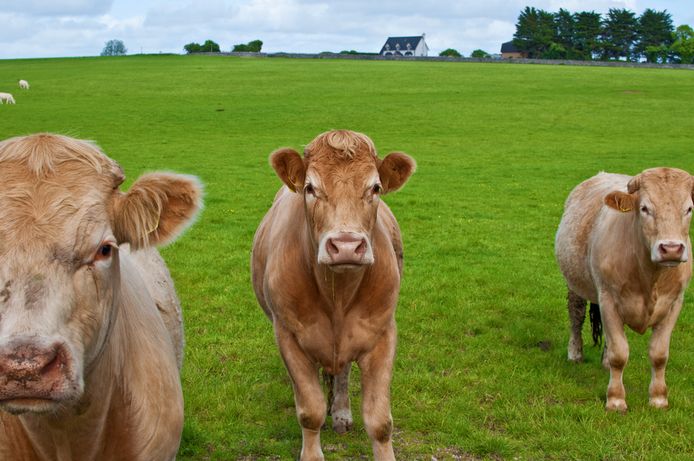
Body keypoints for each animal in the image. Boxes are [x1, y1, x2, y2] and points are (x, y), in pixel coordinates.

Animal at [256, 129, 418, 460]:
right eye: (310, 188)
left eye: (375, 187)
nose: (346, 246)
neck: (337, 297)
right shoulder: (288, 335)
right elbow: (310, 411)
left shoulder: (382, 333)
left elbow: (380, 421)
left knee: (342, 373)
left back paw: (341, 413)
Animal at [556, 168, 694, 410]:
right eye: (645, 208)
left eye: (688, 209)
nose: (671, 249)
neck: (650, 276)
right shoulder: (608, 299)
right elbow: (619, 354)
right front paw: (615, 399)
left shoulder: (675, 302)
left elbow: (659, 354)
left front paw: (659, 398)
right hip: (575, 282)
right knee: (576, 315)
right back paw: (575, 353)